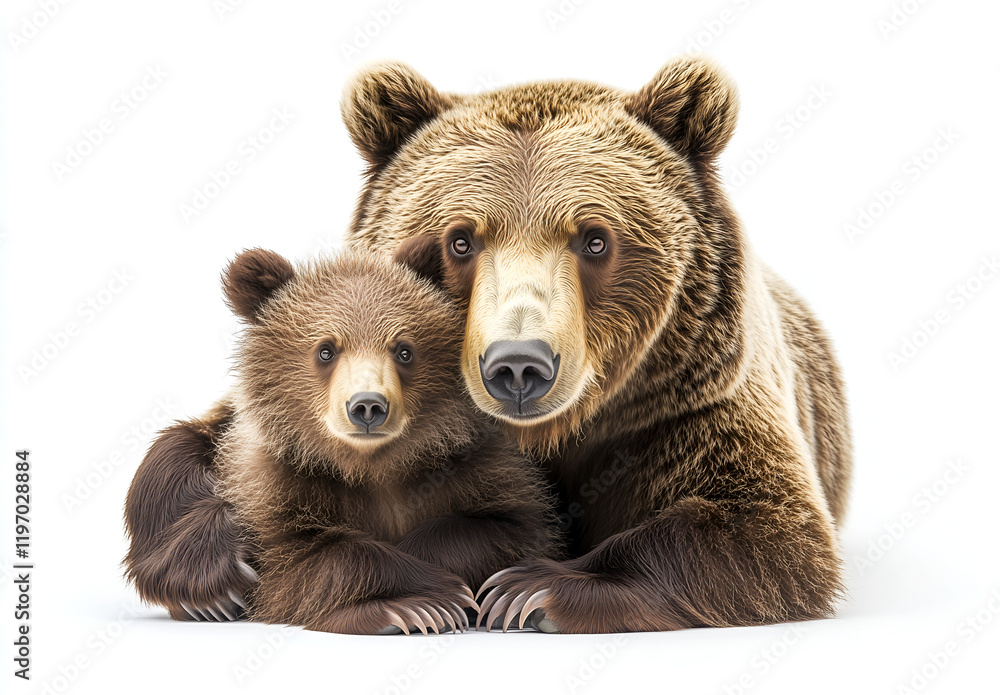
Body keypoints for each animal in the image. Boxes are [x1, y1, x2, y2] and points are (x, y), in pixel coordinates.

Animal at [123, 249, 560, 633]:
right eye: (326, 350)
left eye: (404, 349)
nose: (367, 405)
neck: (370, 465)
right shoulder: (280, 483)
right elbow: (304, 557)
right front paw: (426, 600)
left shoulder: (476, 467)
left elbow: (504, 530)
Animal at [338, 55, 853, 633]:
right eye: (461, 241)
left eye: (595, 239)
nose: (518, 366)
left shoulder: (686, 407)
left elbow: (768, 528)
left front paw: (532, 589)